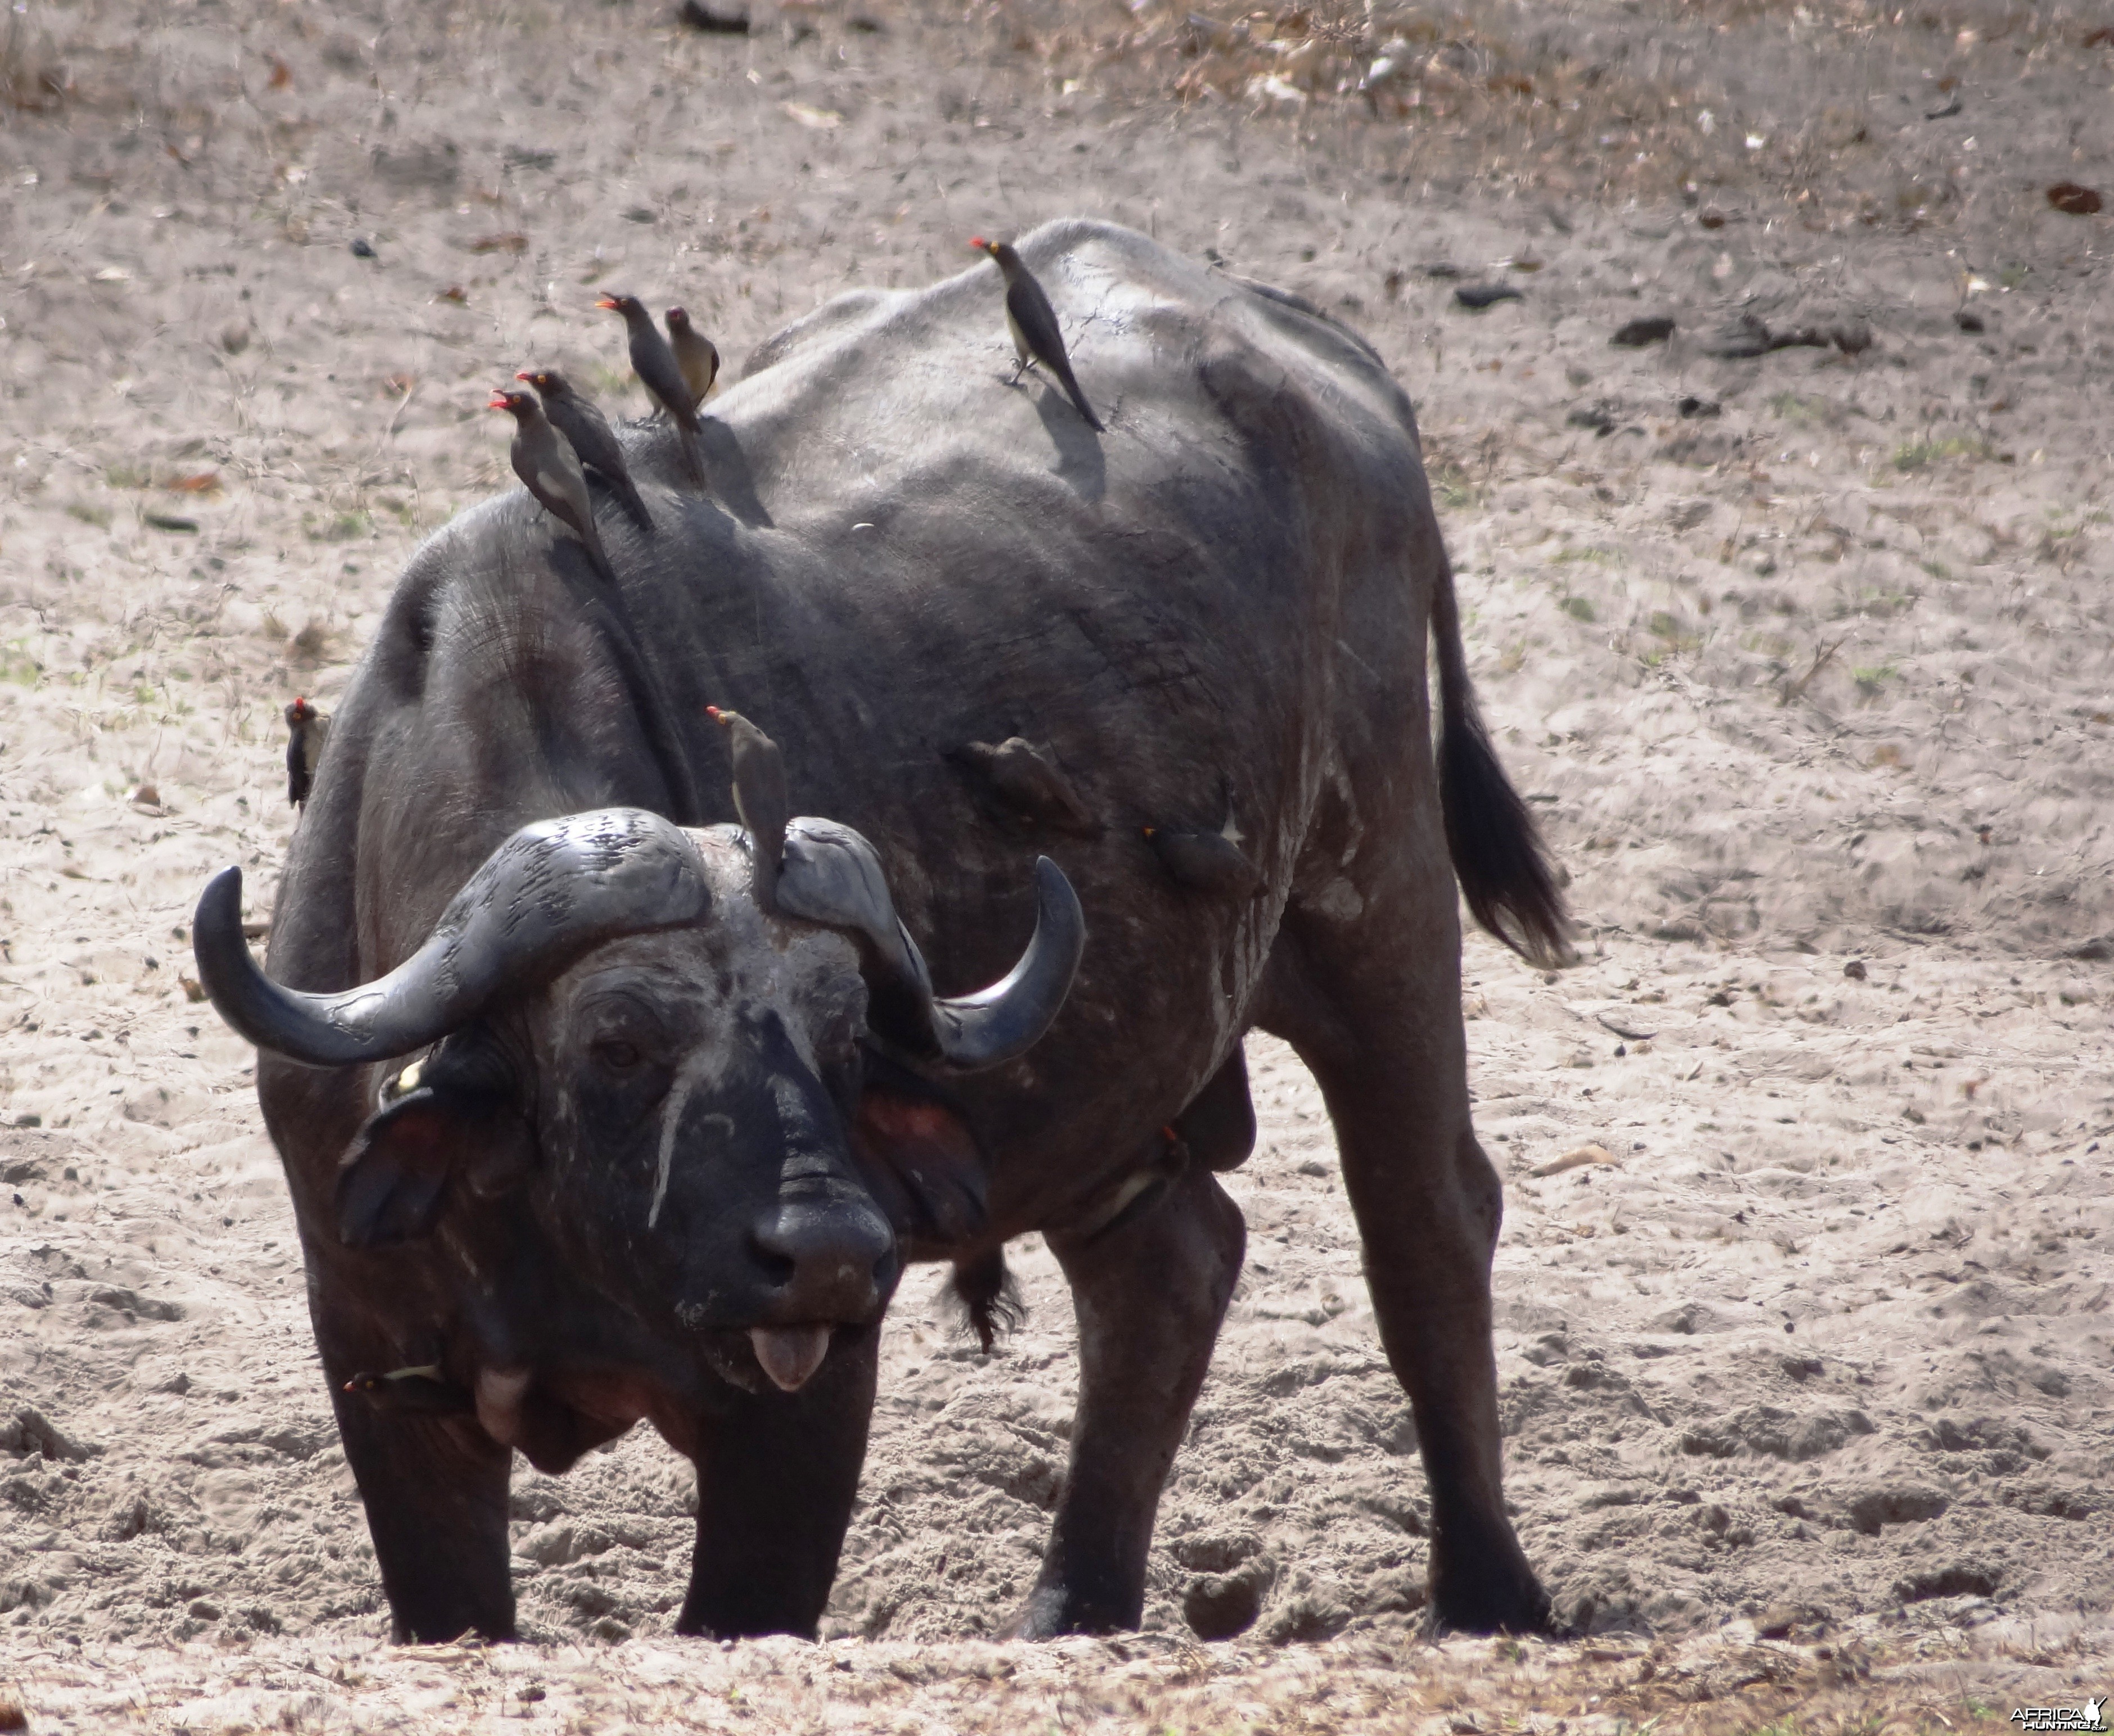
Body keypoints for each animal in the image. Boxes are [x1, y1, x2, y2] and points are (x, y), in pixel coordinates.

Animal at [194, 213, 1573, 1640]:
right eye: (617, 1042)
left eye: (848, 1037)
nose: (825, 1249)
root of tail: (1330, 363)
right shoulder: (381, 1371)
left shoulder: (801, 1406)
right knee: (1169, 1263)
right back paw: (1072, 1601)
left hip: (1378, 893)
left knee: (1428, 1221)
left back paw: (1487, 1587)